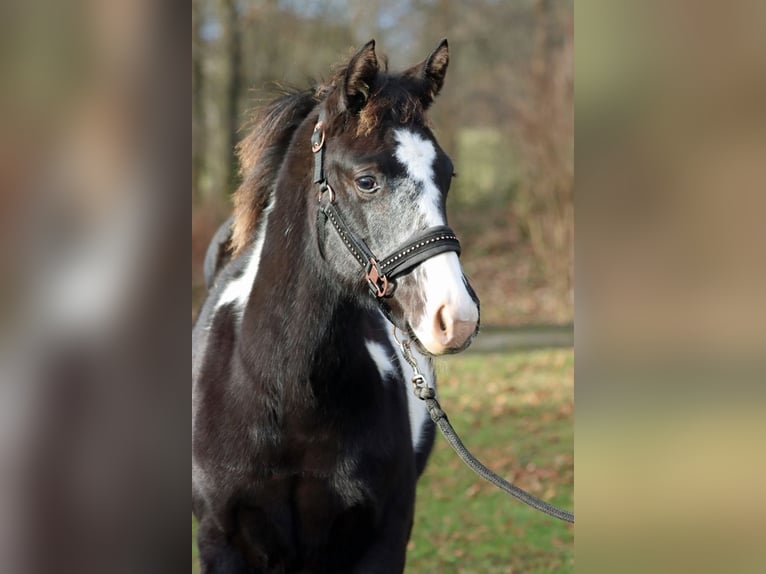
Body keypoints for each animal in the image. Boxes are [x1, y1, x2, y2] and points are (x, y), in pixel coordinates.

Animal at [192, 39, 480, 573]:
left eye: (447, 174)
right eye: (367, 181)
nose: (456, 318)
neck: (285, 395)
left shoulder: (383, 540)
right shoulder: (222, 542)